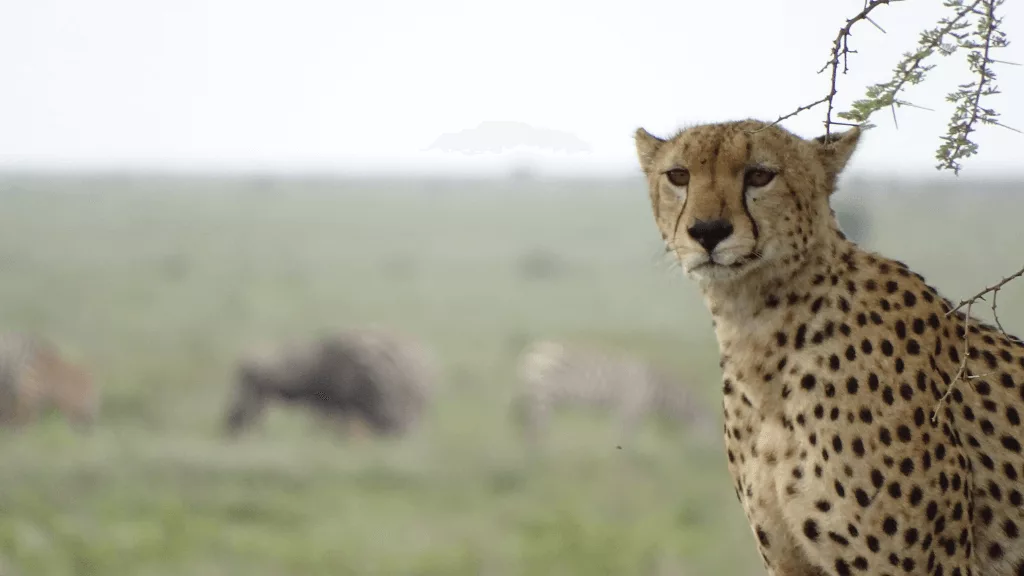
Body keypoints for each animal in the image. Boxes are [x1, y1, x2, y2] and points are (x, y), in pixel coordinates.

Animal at [509, 340, 716, 444]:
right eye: (710, 427)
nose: (713, 457)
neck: (656, 389)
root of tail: (530, 351)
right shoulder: (631, 406)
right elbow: (626, 435)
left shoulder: (624, 408)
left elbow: (622, 433)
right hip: (542, 396)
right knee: (538, 426)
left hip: (535, 396)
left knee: (529, 424)